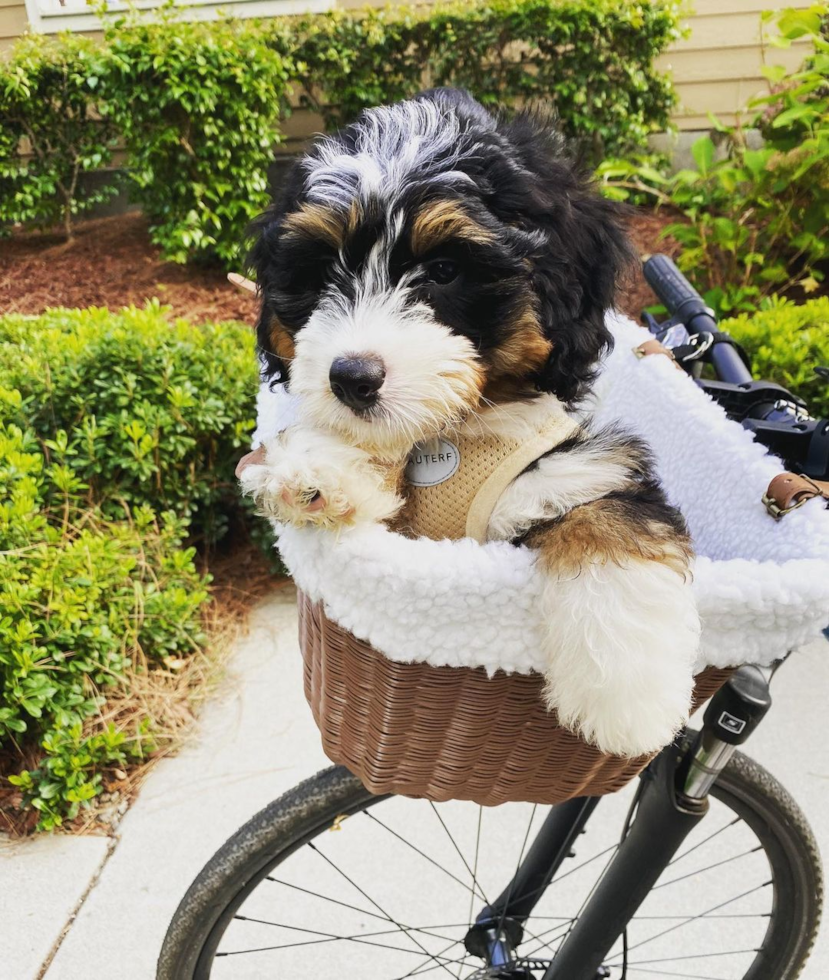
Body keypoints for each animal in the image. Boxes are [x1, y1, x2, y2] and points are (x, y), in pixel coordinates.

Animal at [238, 86, 700, 756]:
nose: (351, 377)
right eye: (324, 271)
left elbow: (609, 515)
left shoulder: (577, 470)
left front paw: (628, 693)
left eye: (445, 271)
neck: (455, 430)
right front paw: (320, 470)